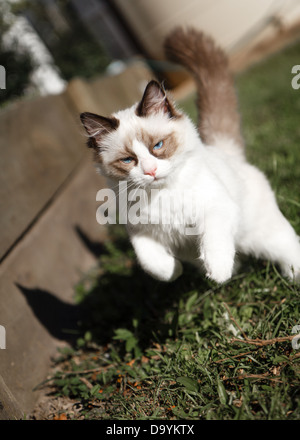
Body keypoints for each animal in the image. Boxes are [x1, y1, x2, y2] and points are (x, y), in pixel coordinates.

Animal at [80, 27, 300, 284]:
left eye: (158, 146)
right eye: (128, 160)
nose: (150, 171)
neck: (162, 195)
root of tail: (225, 152)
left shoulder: (216, 208)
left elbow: (214, 243)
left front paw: (218, 272)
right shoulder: (141, 232)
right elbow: (152, 264)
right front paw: (175, 271)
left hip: (261, 235)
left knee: (287, 247)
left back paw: (290, 276)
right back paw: (234, 268)